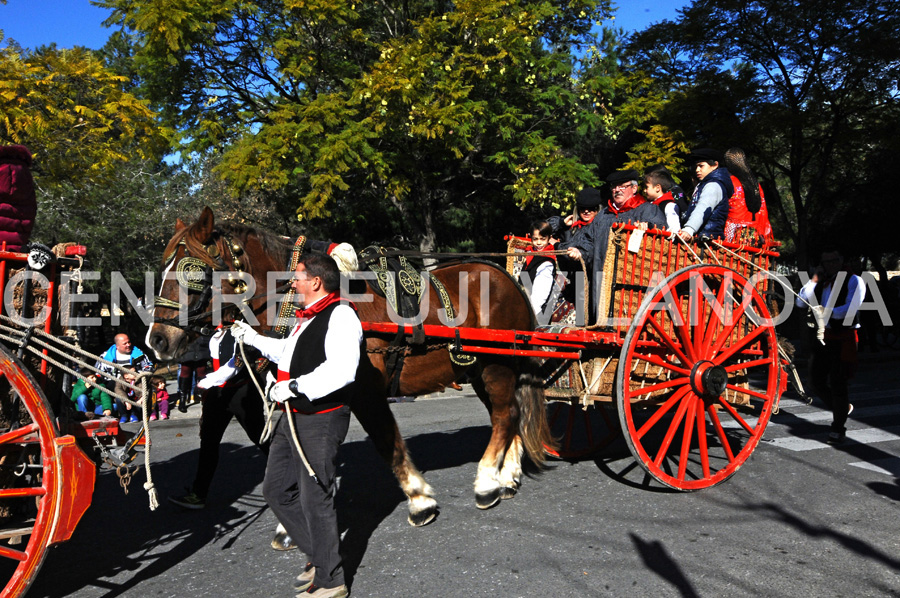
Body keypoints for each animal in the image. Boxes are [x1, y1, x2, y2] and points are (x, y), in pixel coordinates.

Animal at [146, 209, 556, 528]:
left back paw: (487, 482)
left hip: (496, 366)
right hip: (481, 369)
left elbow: (386, 440)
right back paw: (507, 476)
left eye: (192, 273)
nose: (157, 340)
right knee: (509, 412)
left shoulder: (364, 389)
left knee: (505, 414)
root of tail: (507, 278)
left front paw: (419, 500)